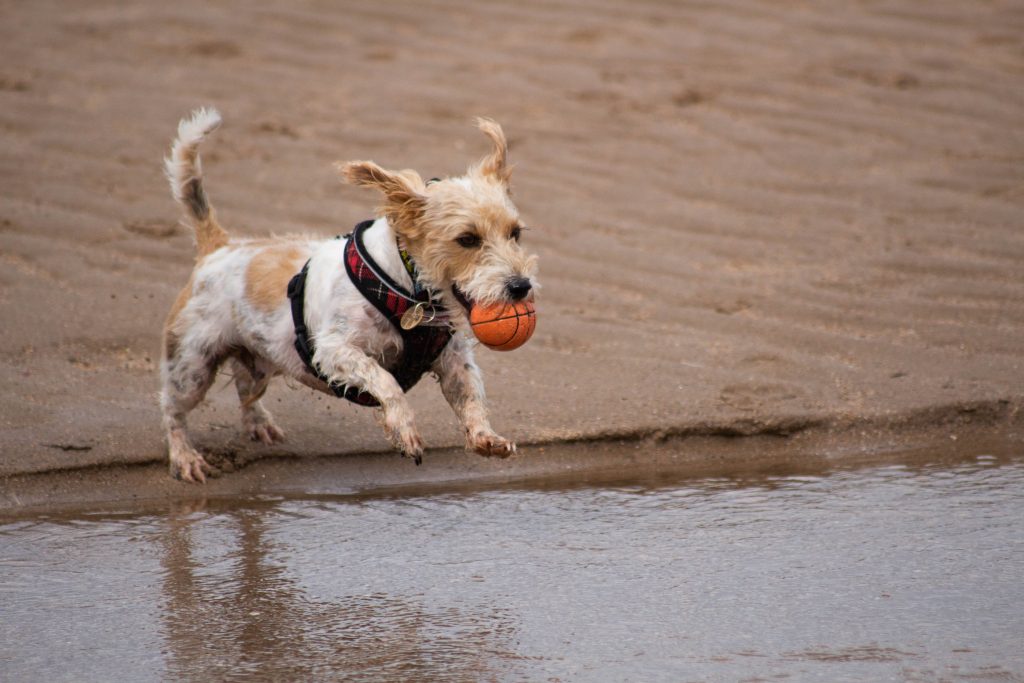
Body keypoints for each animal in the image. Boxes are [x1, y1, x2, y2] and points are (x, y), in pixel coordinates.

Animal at [159, 109, 536, 483]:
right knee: (172, 410)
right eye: (467, 239)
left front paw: (485, 436)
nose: (521, 286)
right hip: (192, 365)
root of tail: (219, 246)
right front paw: (405, 429)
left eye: (515, 233)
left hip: (257, 358)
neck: (406, 288)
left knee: (243, 384)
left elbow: (470, 396)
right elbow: (385, 380)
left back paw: (259, 423)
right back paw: (184, 456)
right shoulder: (334, 350)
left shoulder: (454, 360)